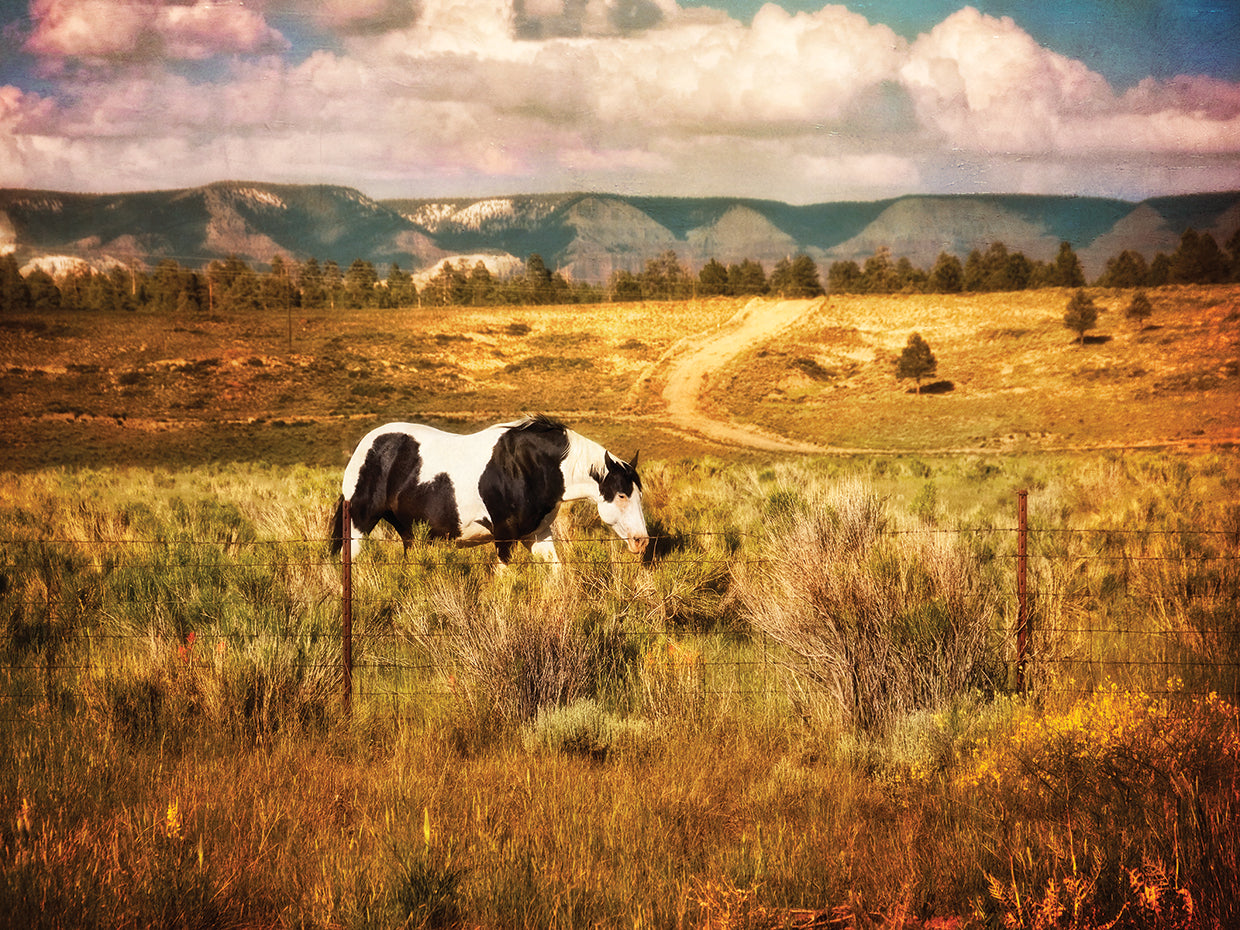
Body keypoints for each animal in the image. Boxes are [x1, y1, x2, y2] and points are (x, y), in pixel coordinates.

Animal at [329, 415, 649, 566]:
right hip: (358, 524)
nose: (642, 541)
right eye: (622, 495)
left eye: (638, 495)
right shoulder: (504, 536)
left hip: (411, 534)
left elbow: (556, 573)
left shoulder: (536, 535)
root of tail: (364, 447)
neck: (529, 467)